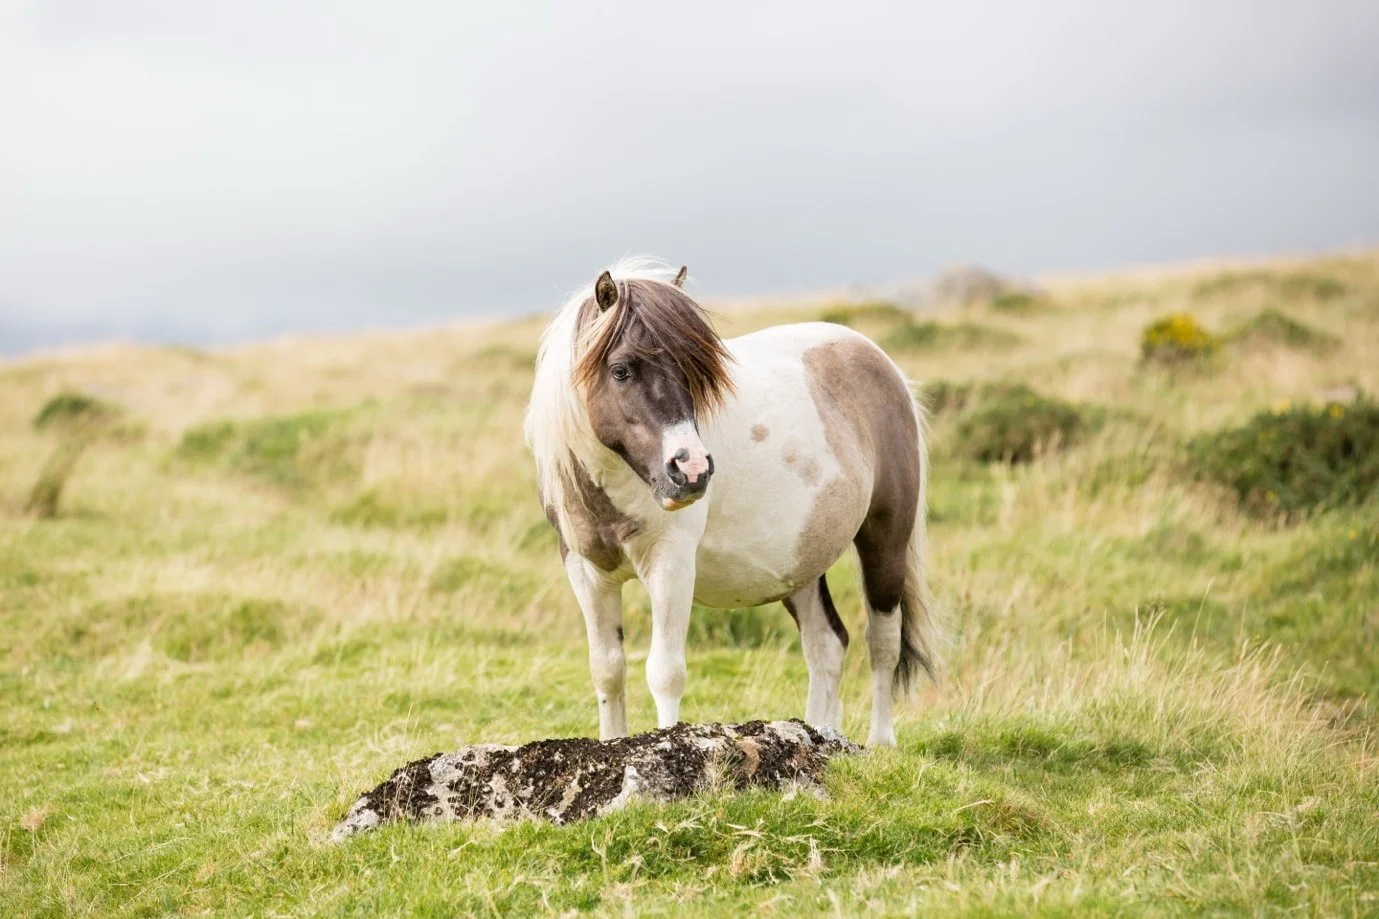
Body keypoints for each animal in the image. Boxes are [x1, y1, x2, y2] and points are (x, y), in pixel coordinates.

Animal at [524, 258, 936, 747]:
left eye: (692, 370)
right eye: (621, 369)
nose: (692, 470)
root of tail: (880, 363)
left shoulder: (671, 565)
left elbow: (665, 673)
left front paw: (670, 747)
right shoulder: (587, 572)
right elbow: (607, 670)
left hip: (885, 538)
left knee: (882, 641)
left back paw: (880, 743)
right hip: (801, 564)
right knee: (826, 644)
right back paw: (817, 734)